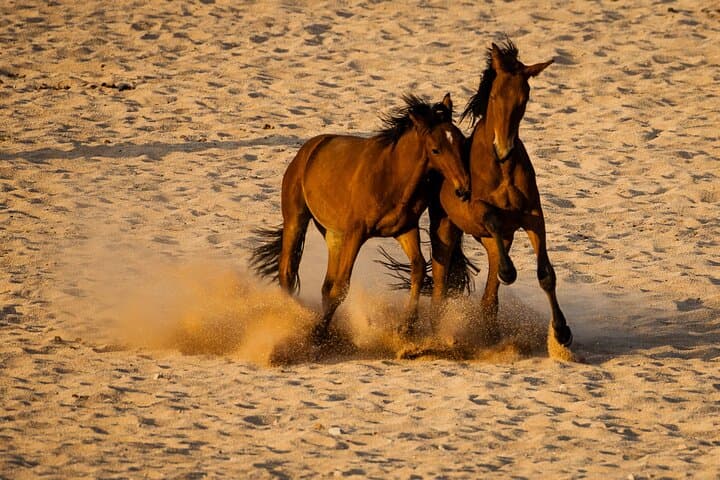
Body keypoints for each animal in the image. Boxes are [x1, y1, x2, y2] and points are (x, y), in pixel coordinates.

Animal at [250, 93, 470, 345]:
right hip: (296, 220)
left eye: (461, 142)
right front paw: (316, 333)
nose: (463, 189)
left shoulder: (405, 229)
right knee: (287, 272)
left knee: (325, 284)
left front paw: (406, 327)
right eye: (435, 150)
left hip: (334, 236)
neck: (393, 174)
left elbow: (418, 268)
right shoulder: (356, 233)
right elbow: (342, 286)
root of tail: (307, 150)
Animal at [428, 39, 573, 348]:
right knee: (440, 289)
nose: (503, 148)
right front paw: (510, 272)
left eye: (524, 99)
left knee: (489, 298)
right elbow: (492, 217)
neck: (503, 168)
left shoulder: (533, 217)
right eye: (494, 96)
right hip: (445, 231)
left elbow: (546, 274)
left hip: (498, 242)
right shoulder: (477, 209)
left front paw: (562, 331)